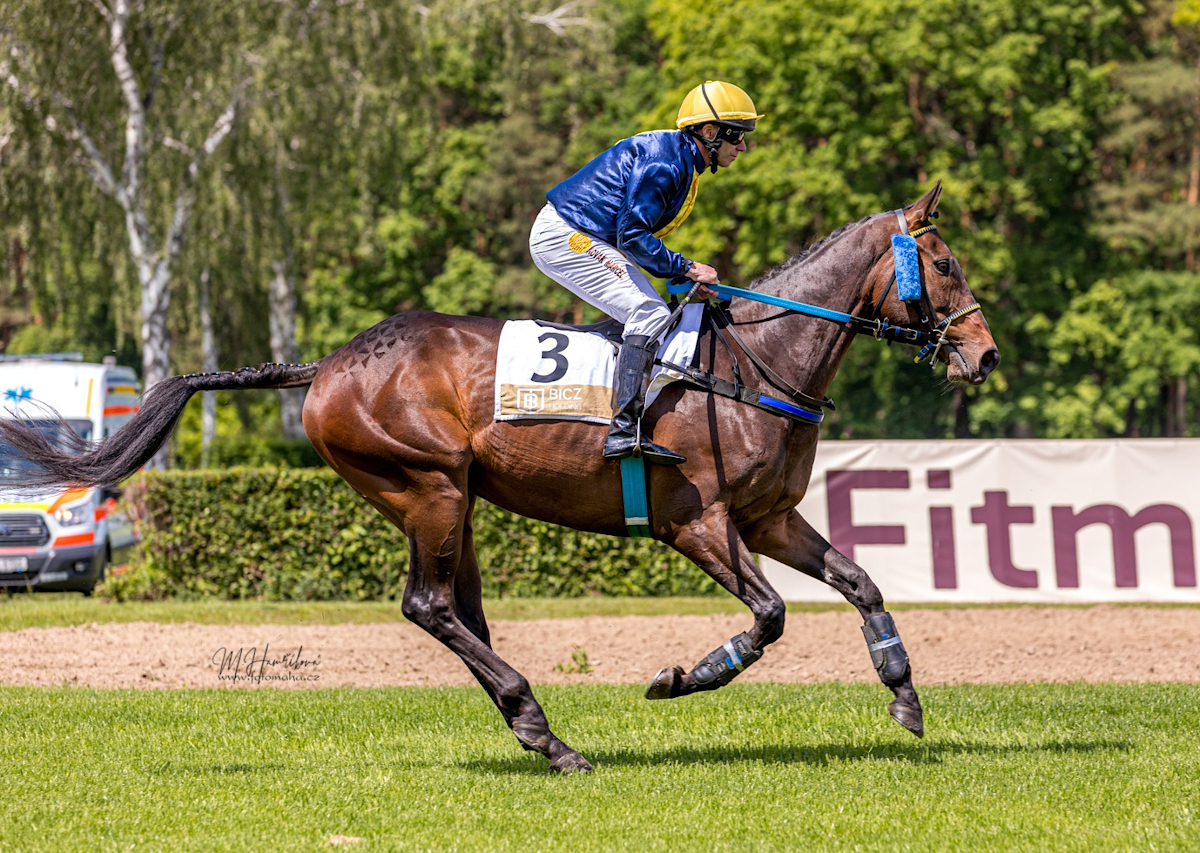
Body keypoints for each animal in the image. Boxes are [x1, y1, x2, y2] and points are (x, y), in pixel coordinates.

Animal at [1, 181, 998, 773]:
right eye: (945, 264)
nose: (983, 356)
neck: (758, 364)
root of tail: (325, 365)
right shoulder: (699, 522)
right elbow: (771, 615)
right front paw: (685, 675)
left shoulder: (767, 519)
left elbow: (860, 582)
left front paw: (904, 693)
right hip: (428, 484)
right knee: (429, 605)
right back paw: (544, 728)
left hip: (455, 499)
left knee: (458, 612)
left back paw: (538, 730)